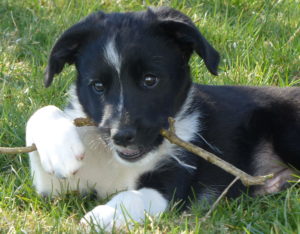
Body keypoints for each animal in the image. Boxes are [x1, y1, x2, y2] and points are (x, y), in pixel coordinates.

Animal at [27, 6, 298, 230]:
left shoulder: (171, 186)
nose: (121, 136)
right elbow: (40, 113)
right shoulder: (54, 188)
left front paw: (101, 217)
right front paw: (59, 151)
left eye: (150, 80)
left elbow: (132, 197)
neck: (118, 163)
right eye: (98, 86)